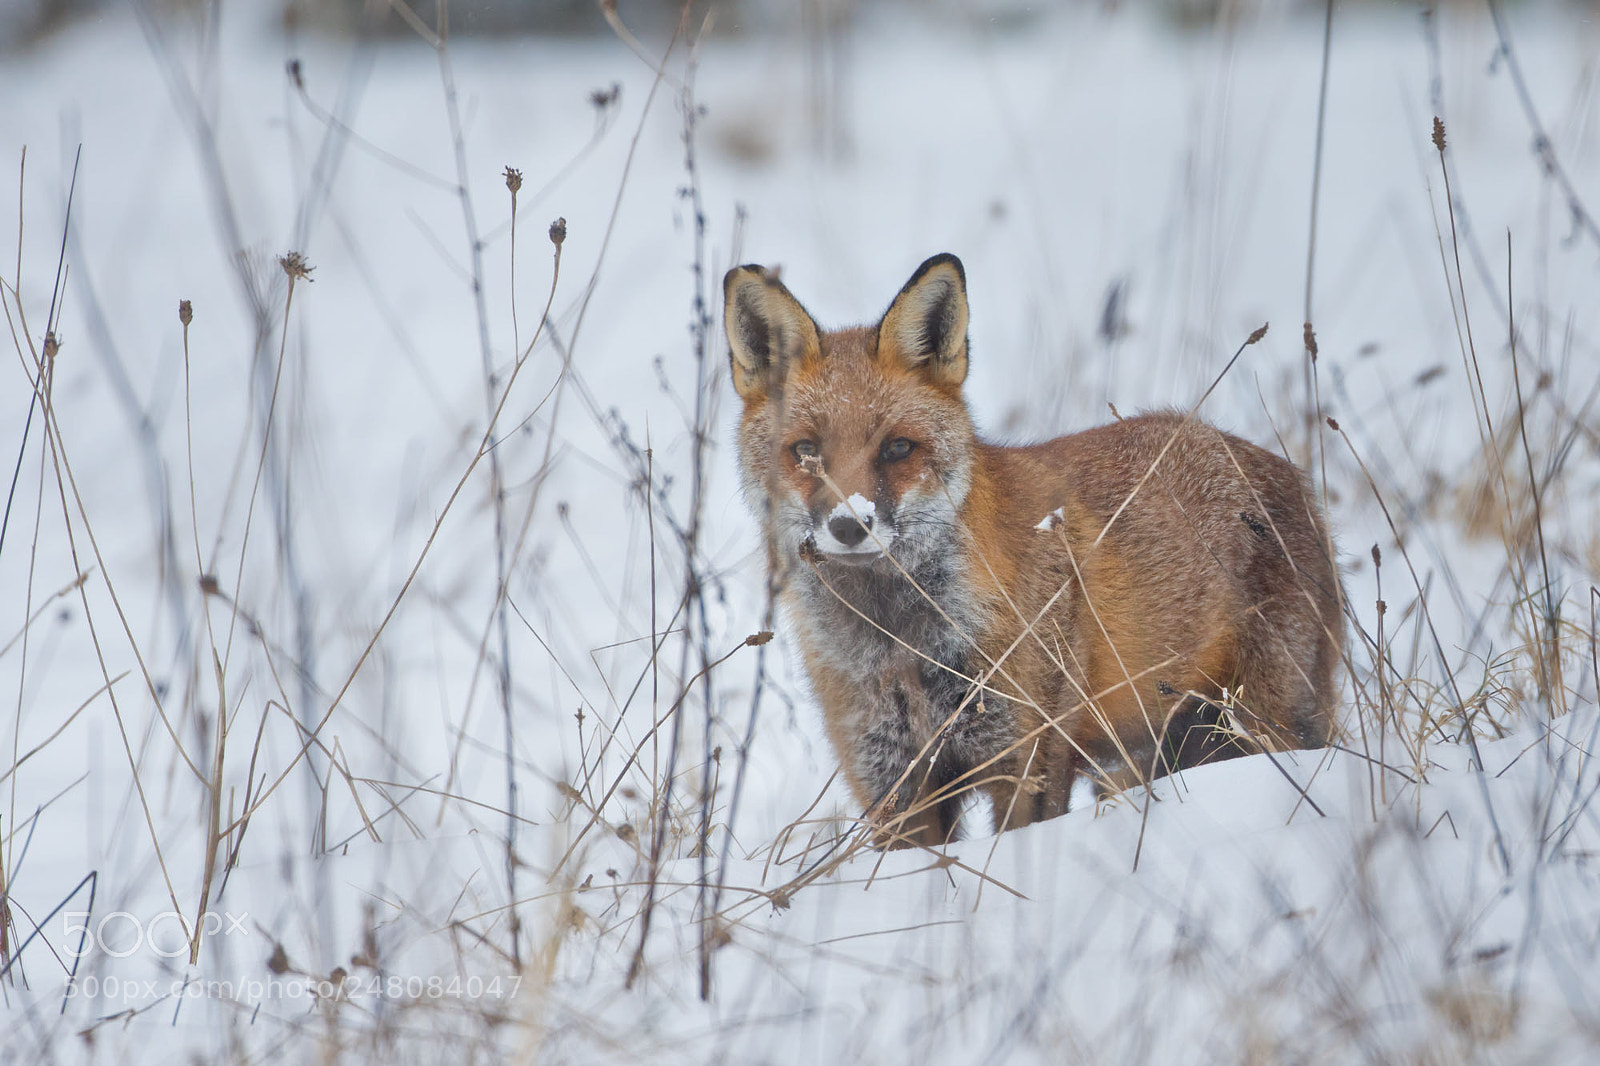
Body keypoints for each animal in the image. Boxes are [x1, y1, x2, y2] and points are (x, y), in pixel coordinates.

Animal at [723, 253, 1343, 848]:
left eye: (897, 448)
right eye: (806, 452)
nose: (851, 524)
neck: (901, 649)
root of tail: (1284, 470)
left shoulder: (1026, 760)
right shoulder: (891, 784)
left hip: (1264, 724)